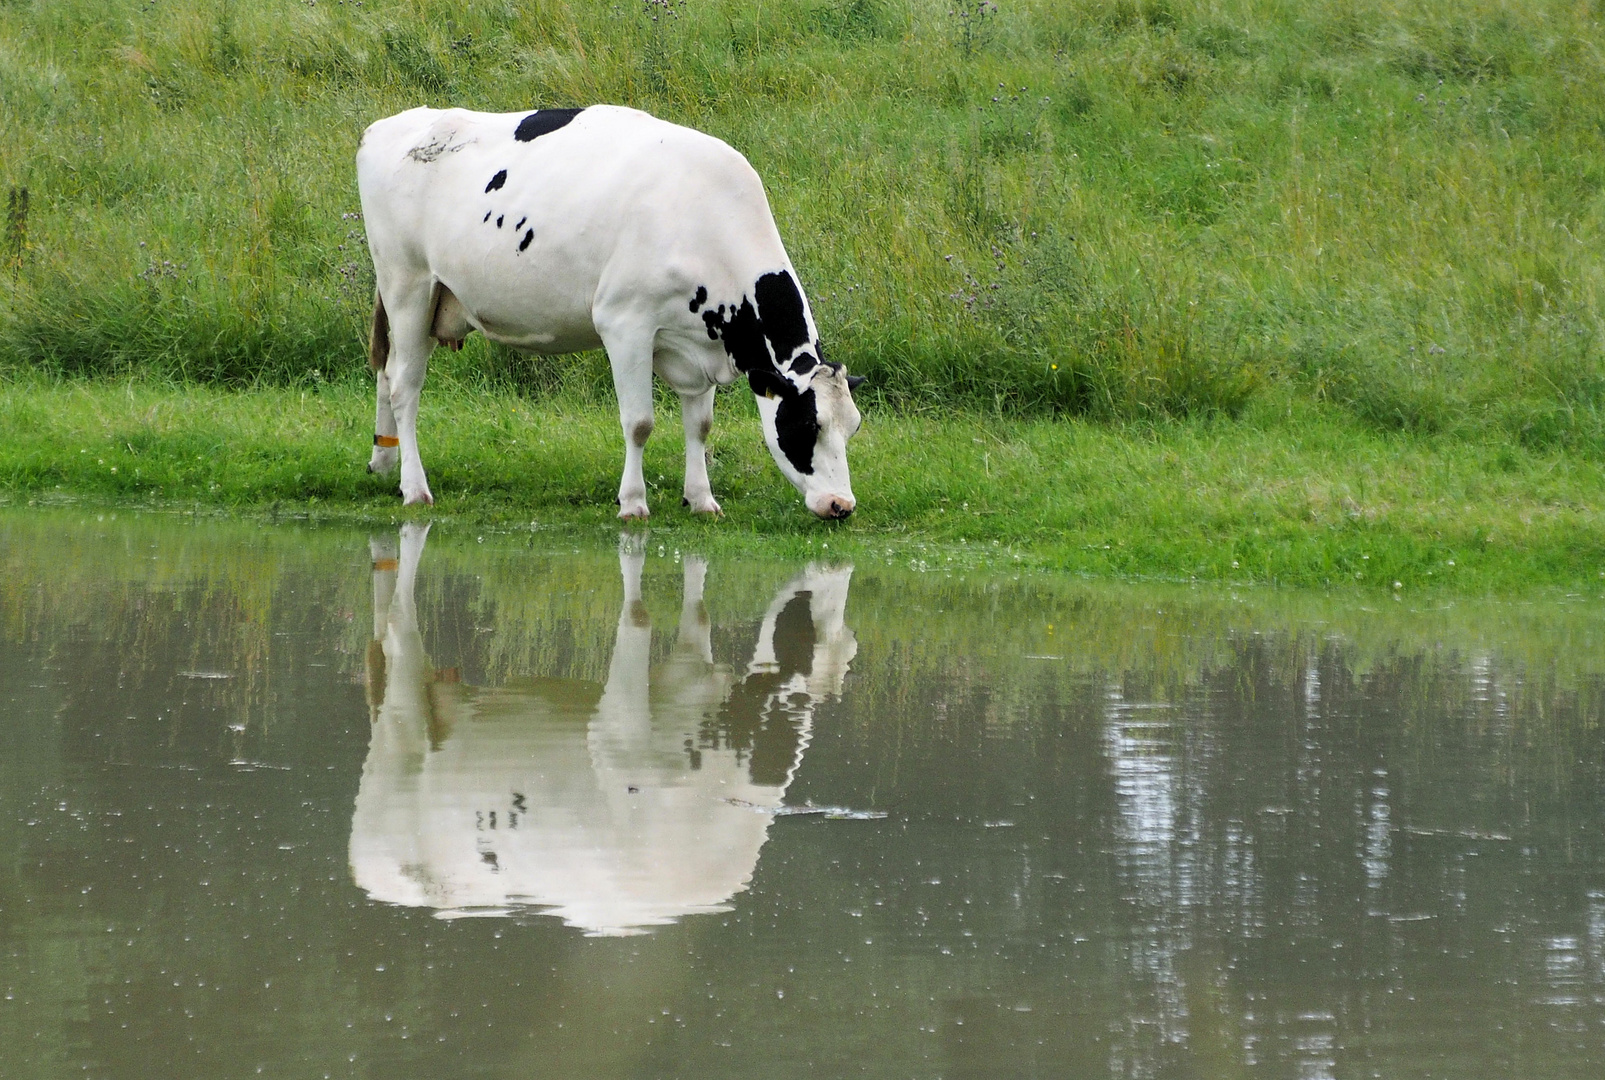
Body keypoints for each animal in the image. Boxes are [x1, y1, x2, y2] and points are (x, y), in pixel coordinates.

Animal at [353, 104, 866, 516]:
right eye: (807, 425)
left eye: (853, 428)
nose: (841, 505)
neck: (704, 215)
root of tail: (387, 125)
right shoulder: (625, 324)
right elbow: (639, 423)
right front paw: (633, 502)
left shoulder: (699, 342)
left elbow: (699, 425)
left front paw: (701, 499)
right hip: (408, 285)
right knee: (404, 387)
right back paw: (414, 488)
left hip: (426, 300)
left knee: (387, 372)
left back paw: (384, 462)